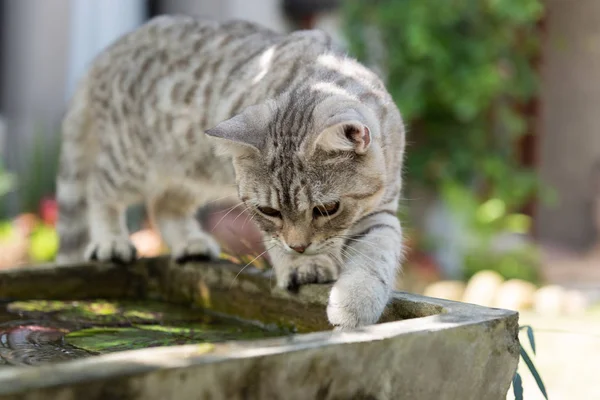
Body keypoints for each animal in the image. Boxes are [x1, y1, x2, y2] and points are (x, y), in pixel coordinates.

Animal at [55, 15, 408, 330]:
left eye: (328, 208)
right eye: (269, 211)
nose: (298, 247)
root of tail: (111, 49)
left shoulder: (380, 209)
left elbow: (376, 253)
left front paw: (354, 304)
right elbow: (275, 241)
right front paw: (302, 265)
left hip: (190, 173)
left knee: (163, 206)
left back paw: (190, 243)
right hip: (131, 161)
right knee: (100, 190)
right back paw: (111, 241)